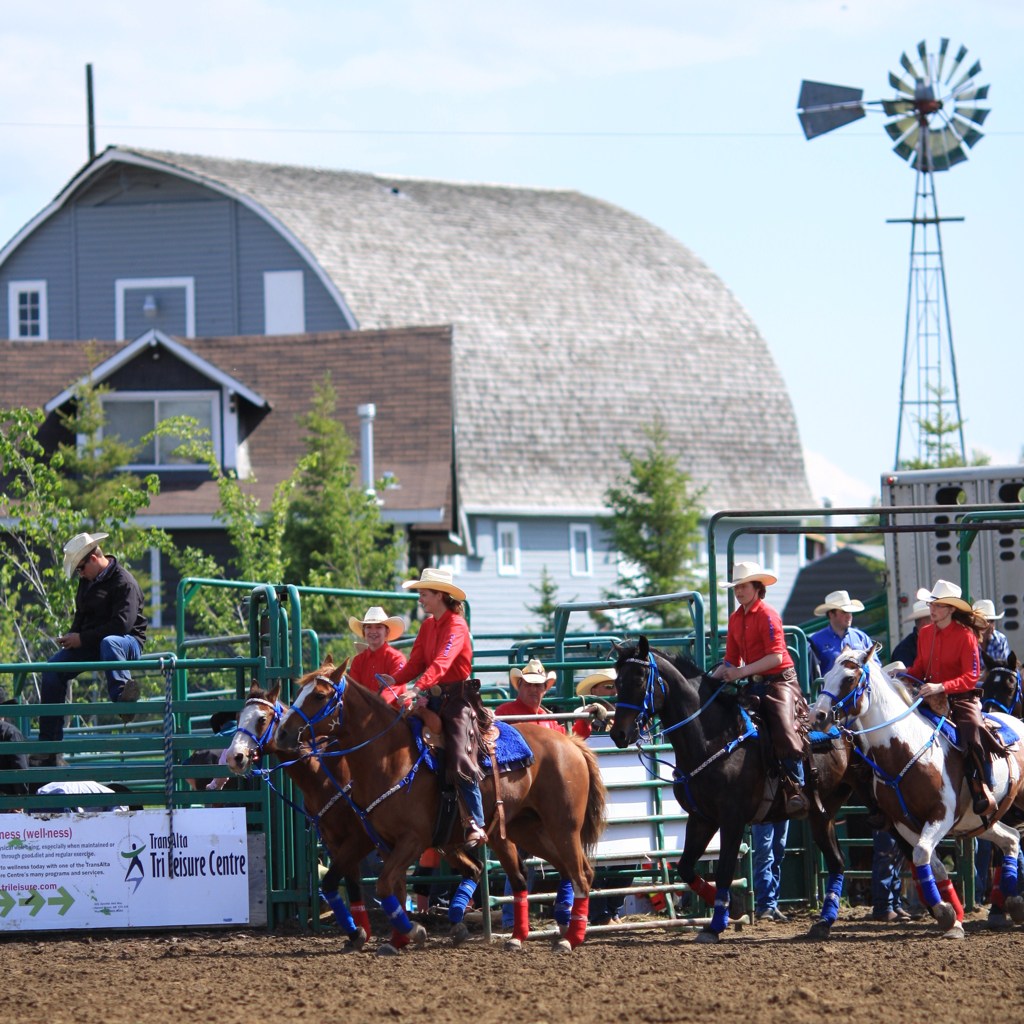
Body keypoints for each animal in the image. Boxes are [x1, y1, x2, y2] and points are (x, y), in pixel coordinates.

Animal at [274, 659, 606, 954]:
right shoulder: (385, 843)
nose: (283, 734)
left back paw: (569, 939)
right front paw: (398, 940)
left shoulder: (412, 839)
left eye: (319, 695)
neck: (389, 758)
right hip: (525, 829)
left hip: (563, 826)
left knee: (580, 875)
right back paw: (527, 936)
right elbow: (392, 888)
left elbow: (383, 885)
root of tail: (569, 743)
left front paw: (413, 933)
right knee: (551, 874)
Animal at [811, 647, 1024, 937]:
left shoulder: (941, 816)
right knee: (1011, 840)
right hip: (981, 820)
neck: (906, 749)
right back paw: (1012, 902)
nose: (818, 716)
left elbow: (921, 854)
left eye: (849, 678)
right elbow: (932, 864)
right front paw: (951, 916)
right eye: (829, 674)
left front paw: (945, 913)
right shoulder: (904, 823)